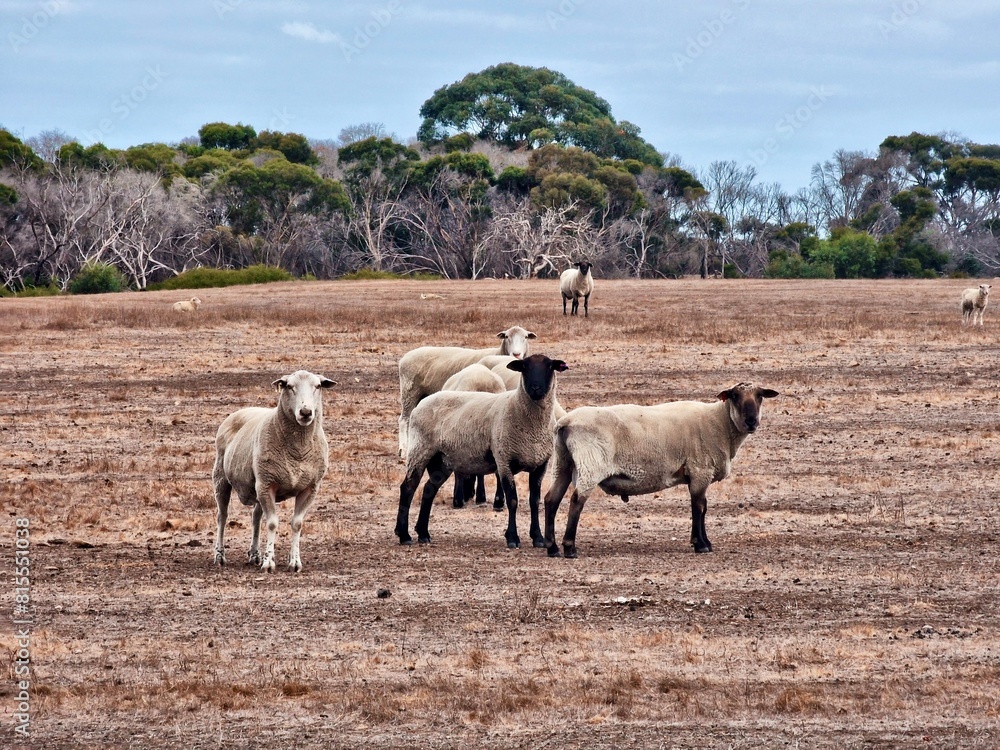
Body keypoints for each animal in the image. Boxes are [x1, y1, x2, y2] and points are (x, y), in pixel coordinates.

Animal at [213, 370, 335, 573]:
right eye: (289, 386)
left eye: (318, 386)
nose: (306, 412)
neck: (298, 452)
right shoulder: (267, 484)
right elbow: (271, 524)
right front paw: (269, 563)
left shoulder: (309, 488)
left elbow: (297, 524)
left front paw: (294, 562)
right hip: (221, 478)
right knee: (222, 516)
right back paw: (220, 556)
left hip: (257, 485)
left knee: (255, 517)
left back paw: (255, 555)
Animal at [396, 354, 568, 550]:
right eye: (524, 367)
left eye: (549, 367)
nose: (536, 388)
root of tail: (421, 404)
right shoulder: (504, 459)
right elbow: (512, 500)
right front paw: (512, 538)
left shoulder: (540, 464)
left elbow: (534, 501)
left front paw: (537, 537)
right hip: (420, 450)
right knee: (408, 488)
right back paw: (404, 535)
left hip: (442, 460)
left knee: (428, 490)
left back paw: (423, 534)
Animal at [397, 325, 536, 456]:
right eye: (506, 337)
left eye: (526, 337)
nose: (516, 354)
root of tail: (405, 356)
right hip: (409, 392)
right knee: (404, 420)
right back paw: (403, 449)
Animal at [543, 382, 779, 559]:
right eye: (735, 396)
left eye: (759, 396)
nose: (751, 421)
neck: (719, 423)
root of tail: (565, 422)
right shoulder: (700, 471)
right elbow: (699, 507)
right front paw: (701, 544)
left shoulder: (698, 474)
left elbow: (702, 508)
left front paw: (703, 542)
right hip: (590, 464)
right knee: (576, 501)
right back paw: (569, 547)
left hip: (563, 463)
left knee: (551, 499)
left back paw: (552, 548)